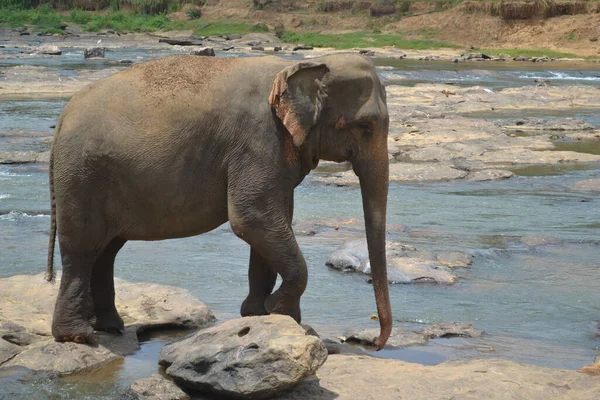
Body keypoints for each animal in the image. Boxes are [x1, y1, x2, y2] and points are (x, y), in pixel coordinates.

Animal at [45, 52, 394, 346]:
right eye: (365, 126)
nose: (373, 343)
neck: (300, 65)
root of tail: (61, 118)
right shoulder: (259, 140)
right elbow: (251, 217)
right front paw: (278, 311)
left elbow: (273, 220)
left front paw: (260, 314)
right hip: (81, 176)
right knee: (82, 248)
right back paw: (78, 336)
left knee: (106, 250)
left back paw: (110, 327)